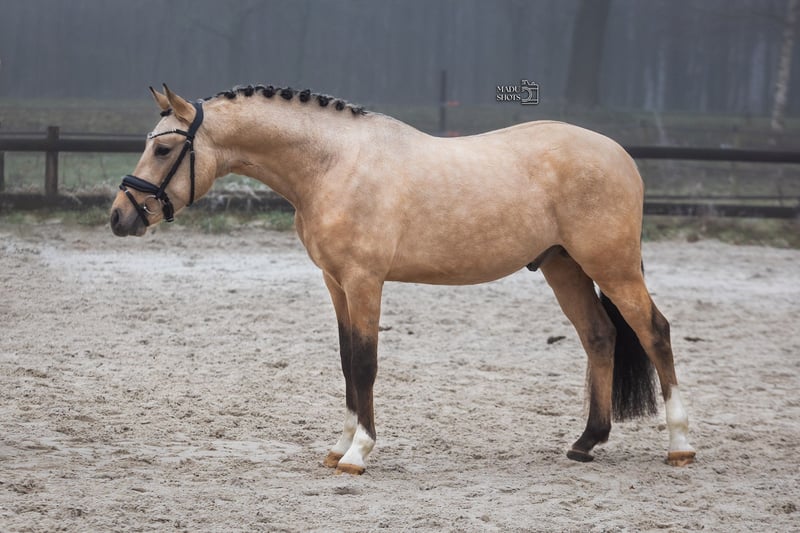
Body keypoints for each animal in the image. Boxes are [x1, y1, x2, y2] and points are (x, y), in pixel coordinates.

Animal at [110, 84, 696, 475]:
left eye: (163, 148)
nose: (120, 216)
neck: (334, 164)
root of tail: (620, 155)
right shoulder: (336, 284)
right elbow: (346, 361)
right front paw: (340, 444)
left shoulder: (365, 281)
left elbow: (366, 364)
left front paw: (358, 453)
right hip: (563, 266)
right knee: (599, 336)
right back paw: (586, 442)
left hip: (611, 266)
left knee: (654, 332)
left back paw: (679, 445)